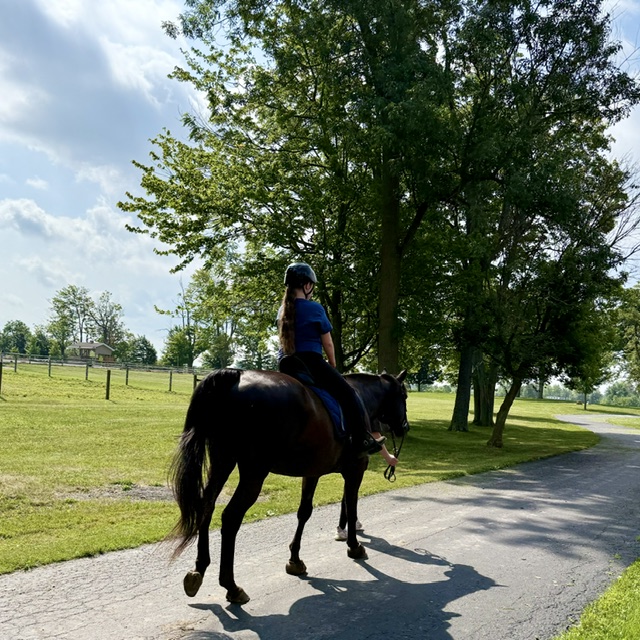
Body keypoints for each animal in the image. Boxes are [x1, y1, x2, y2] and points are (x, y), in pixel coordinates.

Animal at [169, 367, 409, 604]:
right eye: (404, 395)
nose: (404, 427)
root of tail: (235, 374)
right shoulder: (355, 470)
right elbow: (351, 506)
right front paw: (354, 546)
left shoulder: (312, 473)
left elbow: (304, 512)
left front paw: (295, 559)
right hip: (253, 472)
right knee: (230, 518)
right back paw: (231, 585)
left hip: (222, 462)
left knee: (206, 506)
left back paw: (199, 569)